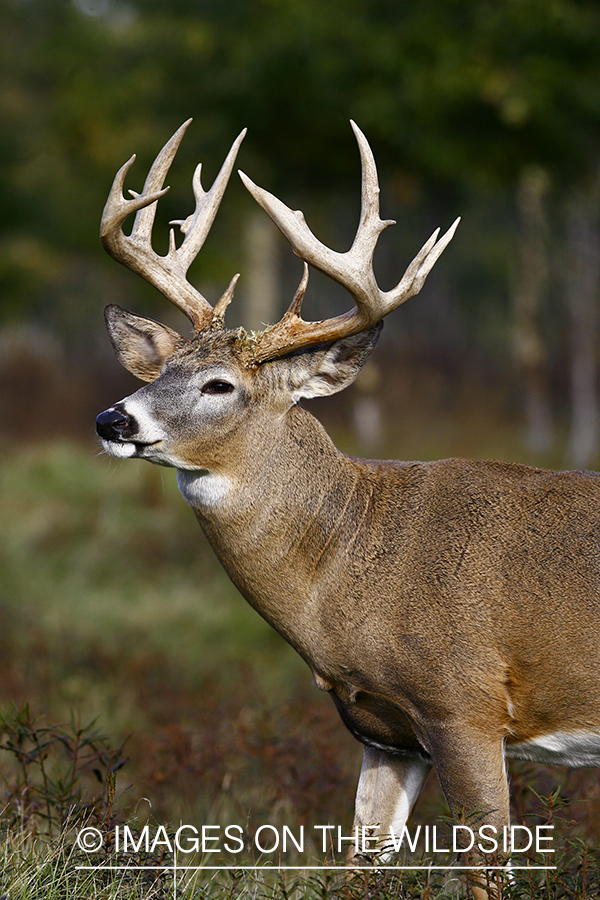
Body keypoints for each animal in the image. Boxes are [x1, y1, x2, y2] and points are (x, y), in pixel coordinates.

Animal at [96, 121, 600, 900]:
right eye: (162, 371)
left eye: (219, 385)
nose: (112, 419)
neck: (352, 562)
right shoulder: (382, 729)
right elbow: (361, 865)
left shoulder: (466, 704)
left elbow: (487, 871)